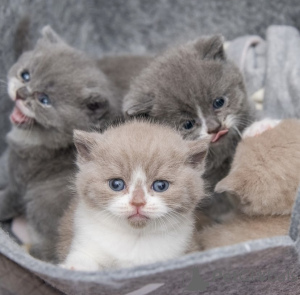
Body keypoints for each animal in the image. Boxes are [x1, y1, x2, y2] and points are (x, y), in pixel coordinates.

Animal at [0, 25, 146, 262]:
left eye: (44, 100)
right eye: (25, 75)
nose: (21, 93)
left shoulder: (19, 185)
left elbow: (6, 200)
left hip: (41, 204)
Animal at [57, 120, 210, 270]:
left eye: (161, 186)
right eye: (116, 184)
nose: (137, 202)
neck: (136, 237)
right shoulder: (86, 241)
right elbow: (83, 259)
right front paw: (73, 267)